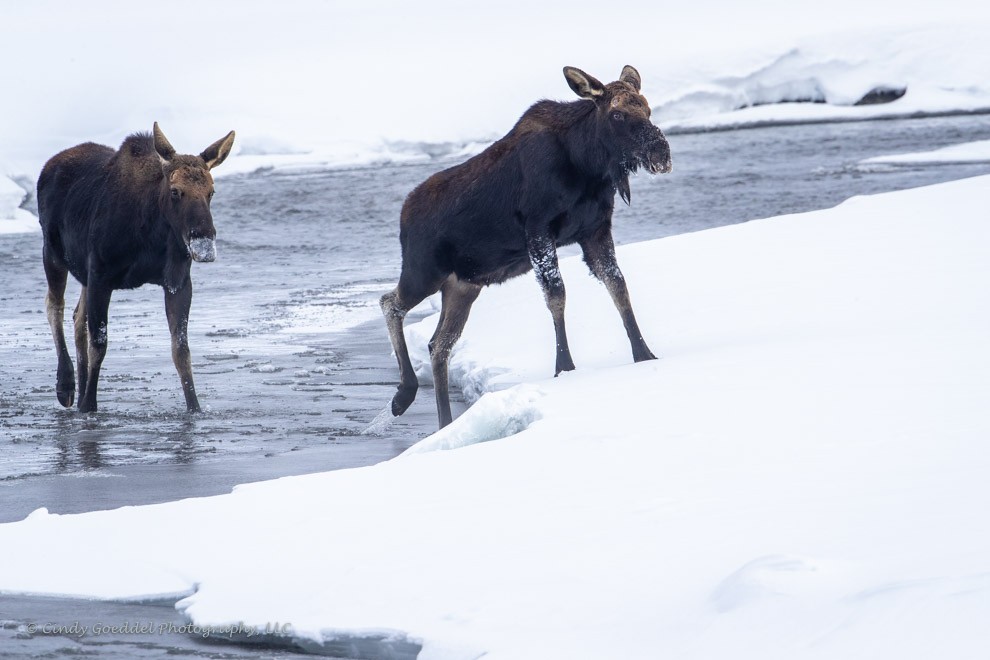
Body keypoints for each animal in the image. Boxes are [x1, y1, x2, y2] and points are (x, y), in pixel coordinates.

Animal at [38, 124, 236, 412]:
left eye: (211, 191)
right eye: (175, 191)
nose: (204, 244)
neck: (150, 233)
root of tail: (48, 165)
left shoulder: (177, 281)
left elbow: (181, 349)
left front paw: (195, 408)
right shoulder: (101, 275)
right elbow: (99, 344)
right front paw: (89, 405)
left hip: (82, 272)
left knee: (77, 316)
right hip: (52, 253)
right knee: (55, 305)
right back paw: (66, 386)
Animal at [386, 65, 676, 428]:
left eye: (648, 109)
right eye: (617, 113)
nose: (661, 154)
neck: (587, 164)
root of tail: (403, 214)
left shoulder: (595, 230)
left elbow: (618, 285)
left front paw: (644, 354)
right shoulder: (539, 229)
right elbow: (556, 294)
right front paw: (564, 367)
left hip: (463, 285)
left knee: (439, 344)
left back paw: (445, 421)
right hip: (424, 272)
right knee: (389, 303)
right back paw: (404, 395)